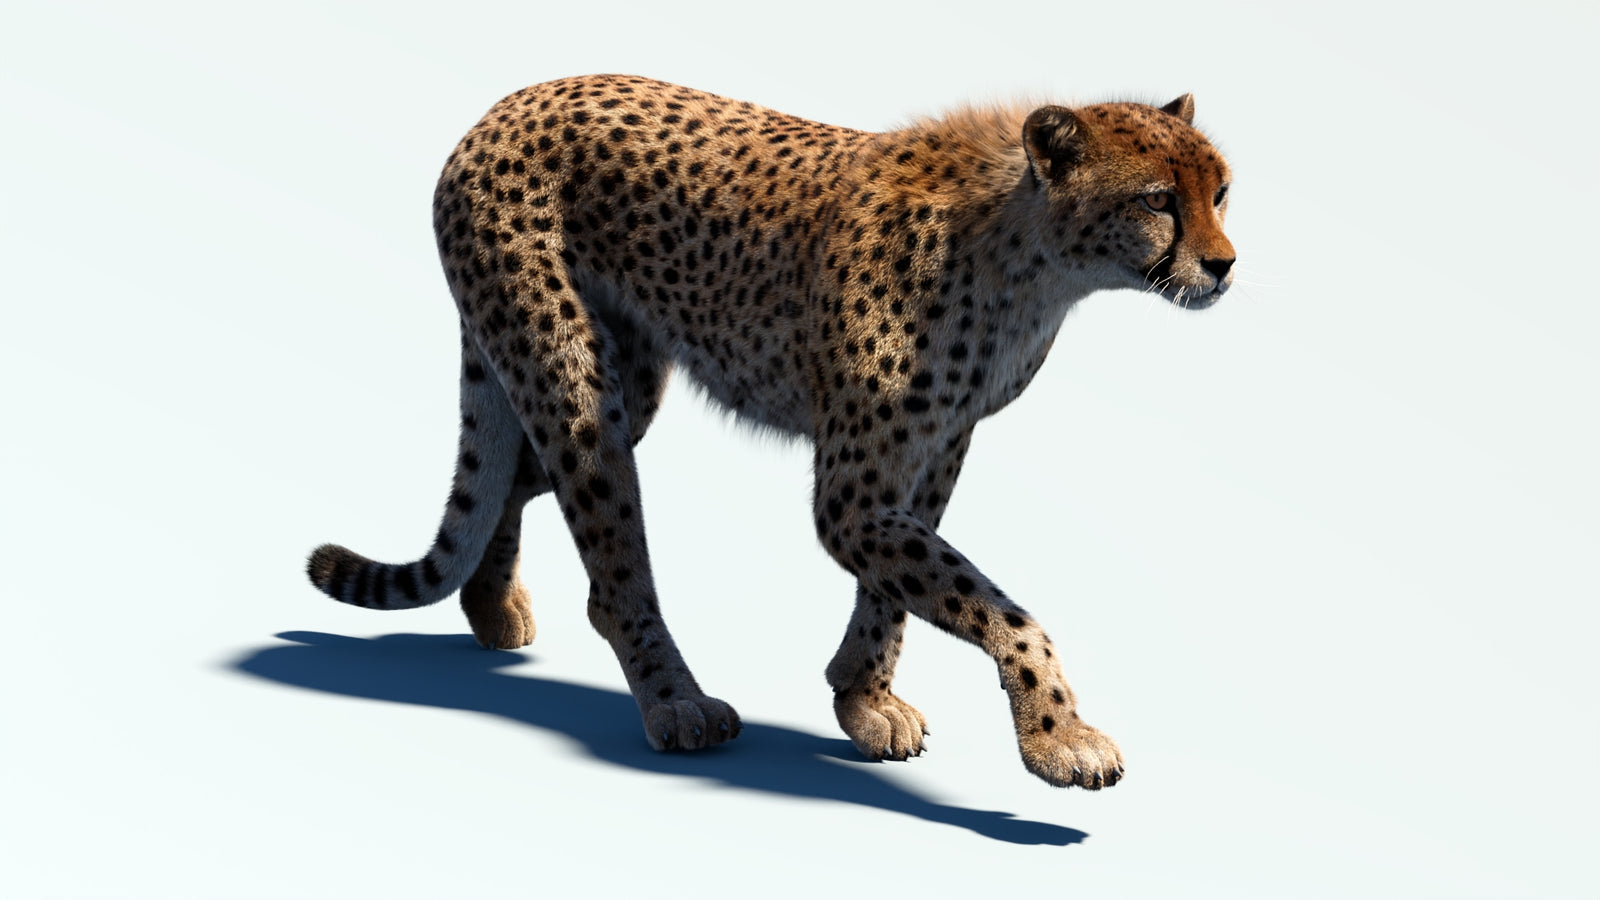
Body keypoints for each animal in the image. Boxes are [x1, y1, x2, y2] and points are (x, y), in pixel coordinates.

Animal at [306, 74, 1235, 789]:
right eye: (1158, 200)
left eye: (1220, 191)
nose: (1225, 264)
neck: (1032, 258)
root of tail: (505, 103)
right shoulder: (854, 492)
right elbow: (994, 607)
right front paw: (1059, 736)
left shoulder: (938, 445)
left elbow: (903, 587)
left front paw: (861, 697)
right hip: (574, 380)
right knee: (609, 561)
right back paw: (676, 701)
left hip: (618, 377)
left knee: (511, 476)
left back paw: (491, 604)